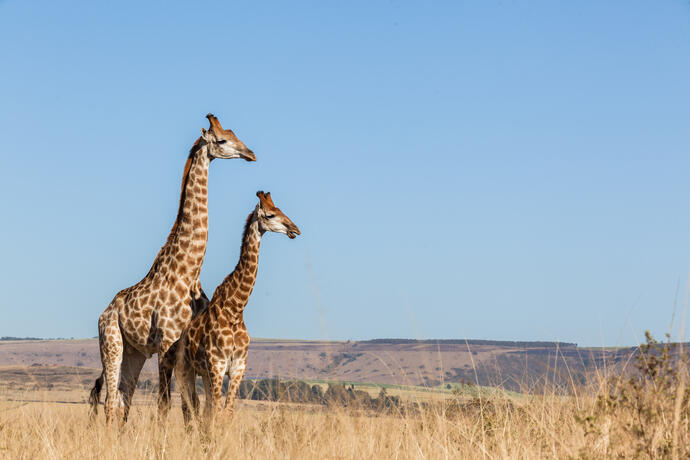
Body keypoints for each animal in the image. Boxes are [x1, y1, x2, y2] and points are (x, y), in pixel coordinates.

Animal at [88, 112, 254, 424]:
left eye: (235, 134)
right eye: (222, 140)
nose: (250, 153)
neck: (188, 271)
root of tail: (104, 313)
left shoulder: (185, 350)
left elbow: (193, 406)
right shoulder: (167, 344)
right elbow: (165, 404)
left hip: (135, 352)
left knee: (123, 397)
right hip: (112, 344)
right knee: (110, 400)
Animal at [172, 190, 298, 424]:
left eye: (281, 209)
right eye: (270, 215)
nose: (295, 229)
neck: (235, 310)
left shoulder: (237, 368)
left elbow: (226, 413)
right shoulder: (217, 365)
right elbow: (216, 413)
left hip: (203, 373)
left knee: (202, 408)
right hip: (185, 370)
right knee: (190, 407)